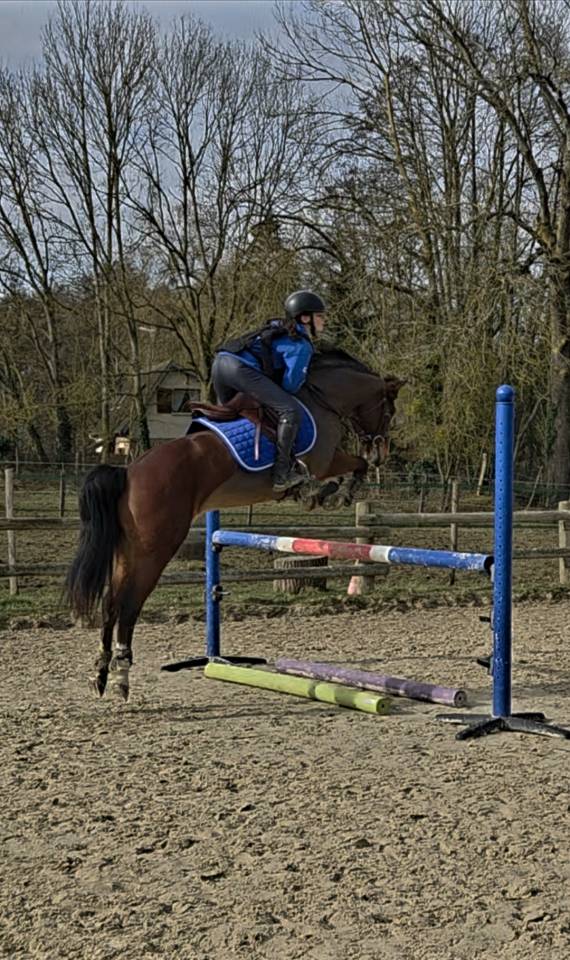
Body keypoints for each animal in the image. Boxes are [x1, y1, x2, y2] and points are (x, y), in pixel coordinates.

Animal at [65, 347, 404, 701]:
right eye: (389, 411)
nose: (381, 453)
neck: (321, 397)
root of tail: (129, 472)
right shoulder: (325, 459)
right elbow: (356, 464)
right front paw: (333, 493)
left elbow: (352, 466)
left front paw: (324, 492)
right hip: (155, 549)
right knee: (129, 604)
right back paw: (122, 677)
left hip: (127, 550)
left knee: (110, 603)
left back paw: (102, 673)